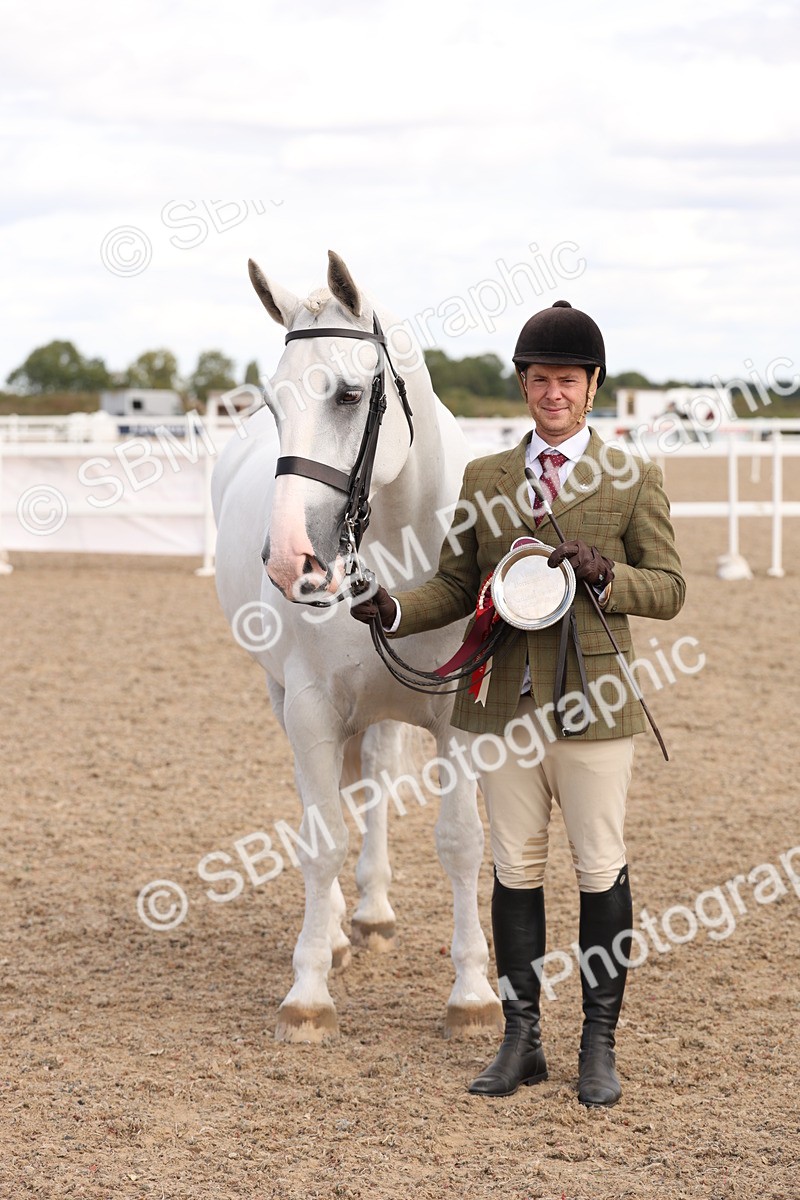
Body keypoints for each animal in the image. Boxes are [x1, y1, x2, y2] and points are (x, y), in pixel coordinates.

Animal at [211, 251, 502, 1043]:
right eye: (272, 403)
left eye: (347, 394)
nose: (291, 562)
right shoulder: (311, 707)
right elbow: (322, 840)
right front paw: (309, 989)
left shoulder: (458, 715)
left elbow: (461, 842)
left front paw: (473, 994)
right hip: (285, 696)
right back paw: (343, 928)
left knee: (374, 779)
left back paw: (372, 912)